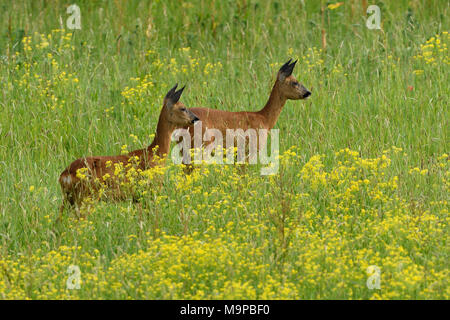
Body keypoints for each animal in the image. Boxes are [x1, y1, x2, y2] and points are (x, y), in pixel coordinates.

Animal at [58, 84, 199, 216]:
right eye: (183, 108)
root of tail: (64, 175)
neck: (154, 153)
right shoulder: (149, 190)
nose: (195, 118)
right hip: (86, 196)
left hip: (69, 199)